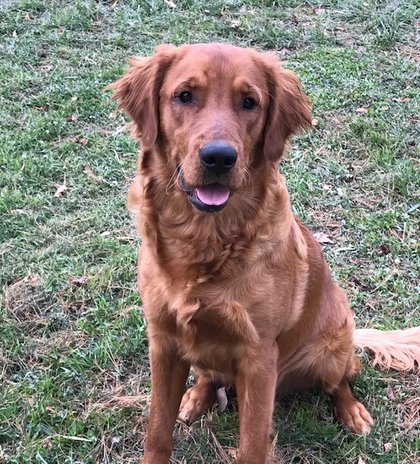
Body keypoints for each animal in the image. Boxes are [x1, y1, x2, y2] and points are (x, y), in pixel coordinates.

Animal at [110, 42, 420, 460]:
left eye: (250, 102)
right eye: (185, 95)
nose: (219, 157)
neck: (205, 242)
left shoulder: (258, 358)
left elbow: (252, 443)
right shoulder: (162, 342)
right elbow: (158, 429)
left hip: (332, 347)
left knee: (341, 381)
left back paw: (352, 412)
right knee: (208, 376)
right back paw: (195, 397)